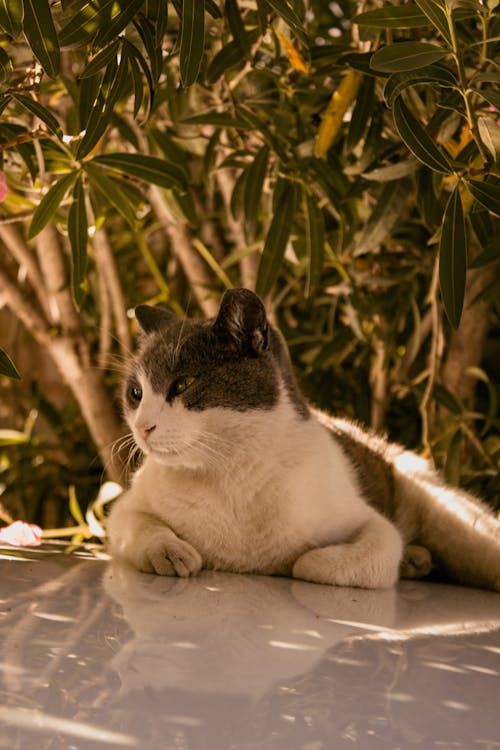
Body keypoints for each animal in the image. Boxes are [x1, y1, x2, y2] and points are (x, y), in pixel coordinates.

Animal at [106, 290, 500, 592]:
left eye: (183, 384)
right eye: (136, 393)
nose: (142, 427)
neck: (231, 472)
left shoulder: (373, 524)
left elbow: (328, 560)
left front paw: (297, 561)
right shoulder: (124, 509)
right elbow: (141, 526)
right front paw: (173, 552)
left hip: (459, 528)